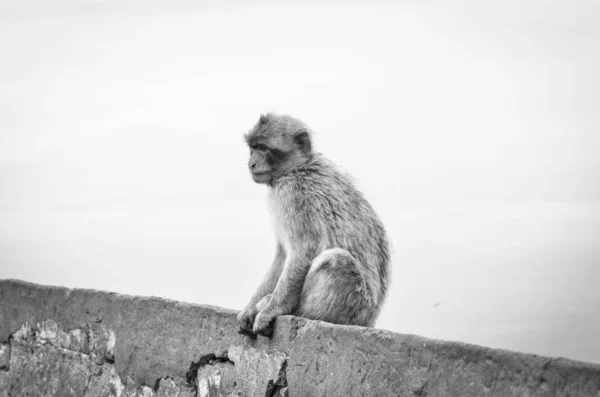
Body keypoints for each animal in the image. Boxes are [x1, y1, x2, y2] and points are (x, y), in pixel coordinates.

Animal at [237, 113, 392, 336]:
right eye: (253, 147)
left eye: (264, 148)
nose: (251, 163)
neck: (297, 168)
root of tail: (369, 322)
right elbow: (282, 256)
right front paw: (250, 309)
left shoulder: (295, 195)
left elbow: (304, 251)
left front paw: (272, 309)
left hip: (353, 305)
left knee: (335, 259)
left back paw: (293, 310)